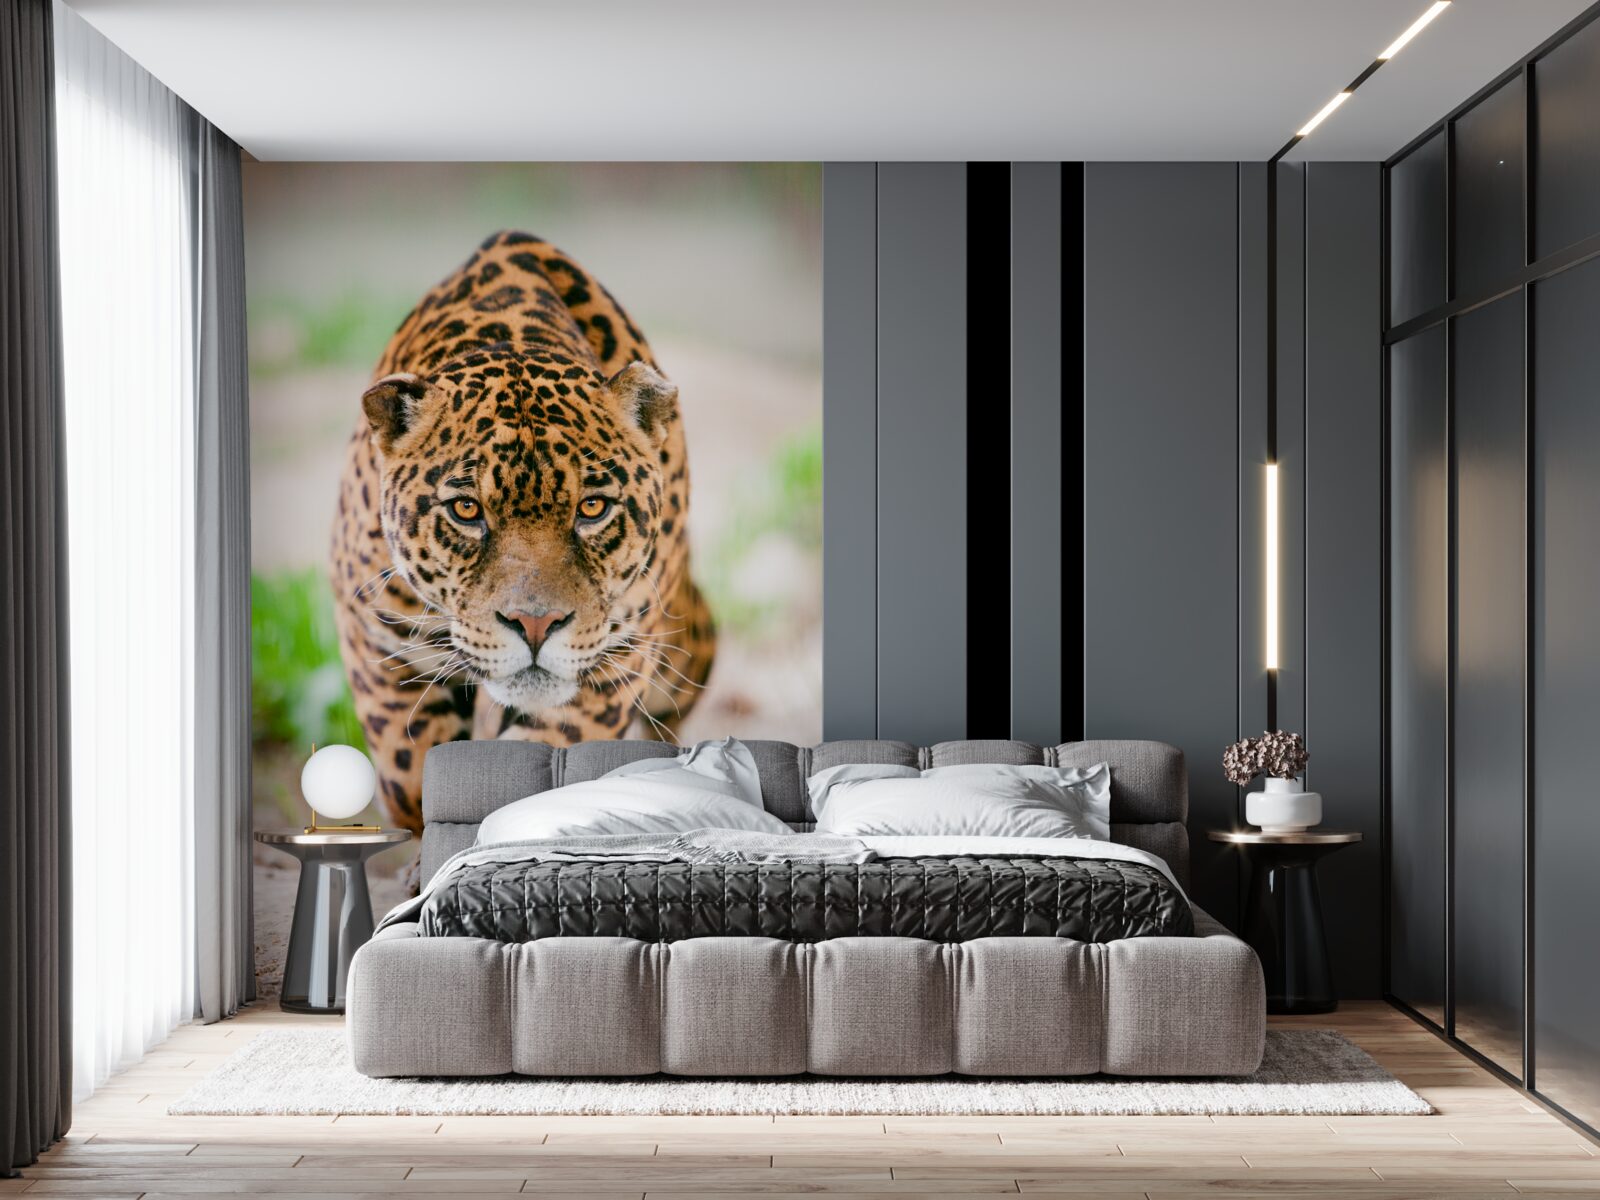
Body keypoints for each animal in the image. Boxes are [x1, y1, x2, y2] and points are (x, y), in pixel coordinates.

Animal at [328, 231, 717, 834]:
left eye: (592, 507)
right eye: (467, 509)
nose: (535, 625)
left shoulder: (612, 666)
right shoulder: (376, 633)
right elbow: (411, 771)